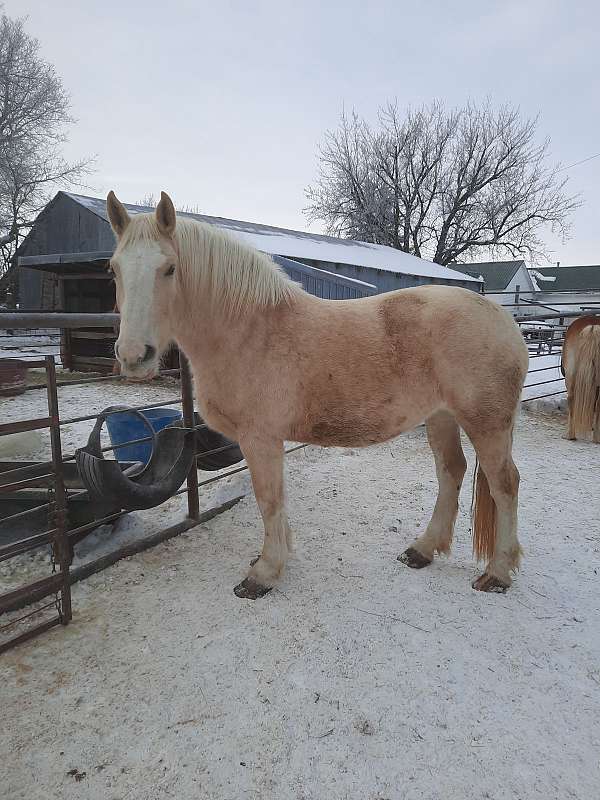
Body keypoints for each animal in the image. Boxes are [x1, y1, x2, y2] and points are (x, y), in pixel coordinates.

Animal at [105, 191, 528, 596]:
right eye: (113, 268)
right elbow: (275, 502)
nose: (134, 356)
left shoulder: (260, 438)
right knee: (451, 471)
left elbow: (268, 499)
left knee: (505, 484)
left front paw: (263, 573)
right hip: (441, 416)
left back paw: (498, 573)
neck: (248, 331)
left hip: (486, 423)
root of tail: (503, 320)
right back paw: (422, 550)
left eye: (169, 268)